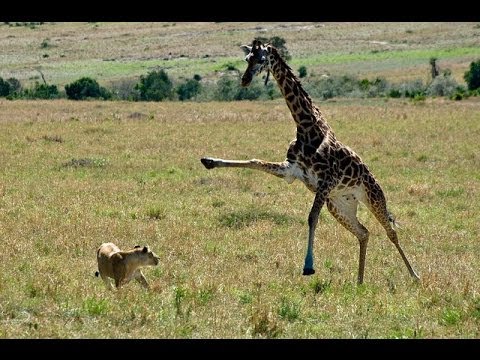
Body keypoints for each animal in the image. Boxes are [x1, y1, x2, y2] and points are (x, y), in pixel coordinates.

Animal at [201, 39, 418, 286]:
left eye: (262, 59)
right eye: (247, 59)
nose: (245, 80)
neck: (306, 127)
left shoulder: (326, 180)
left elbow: (312, 217)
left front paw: (308, 266)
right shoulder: (291, 170)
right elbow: (254, 161)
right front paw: (209, 160)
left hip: (373, 197)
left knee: (391, 232)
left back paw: (414, 275)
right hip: (339, 205)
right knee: (364, 232)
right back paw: (360, 281)